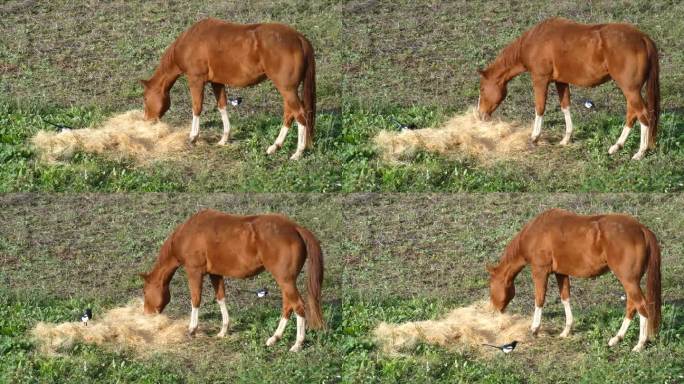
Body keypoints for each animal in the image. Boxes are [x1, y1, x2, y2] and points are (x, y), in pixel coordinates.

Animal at [140, 210, 324, 352]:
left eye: (145, 291)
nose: (147, 313)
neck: (189, 233)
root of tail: (295, 228)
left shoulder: (194, 272)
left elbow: (195, 300)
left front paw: (192, 329)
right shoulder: (215, 274)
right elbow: (221, 298)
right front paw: (223, 330)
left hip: (285, 280)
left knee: (298, 305)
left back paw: (297, 344)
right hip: (286, 282)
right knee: (288, 305)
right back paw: (274, 338)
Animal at [144, 17, 318, 159]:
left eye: (145, 98)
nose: (147, 120)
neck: (190, 42)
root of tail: (299, 38)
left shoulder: (196, 80)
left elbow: (196, 107)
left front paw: (193, 137)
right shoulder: (217, 82)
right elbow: (222, 106)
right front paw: (224, 138)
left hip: (287, 89)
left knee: (300, 114)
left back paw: (298, 152)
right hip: (288, 90)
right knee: (290, 114)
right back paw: (275, 146)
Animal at [478, 17, 660, 159]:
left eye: (481, 89)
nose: (480, 115)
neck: (535, 41)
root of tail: (643, 38)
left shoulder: (540, 79)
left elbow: (539, 107)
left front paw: (535, 137)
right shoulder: (561, 81)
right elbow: (565, 106)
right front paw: (566, 139)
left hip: (630, 90)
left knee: (643, 115)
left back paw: (640, 152)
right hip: (630, 91)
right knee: (632, 114)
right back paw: (617, 146)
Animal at [488, 208, 660, 352]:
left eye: (491, 286)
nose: (495, 310)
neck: (535, 233)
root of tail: (641, 229)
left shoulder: (540, 271)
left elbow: (539, 299)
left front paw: (535, 329)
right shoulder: (561, 273)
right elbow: (565, 298)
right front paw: (566, 331)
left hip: (628, 280)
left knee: (641, 306)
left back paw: (639, 344)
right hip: (631, 281)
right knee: (632, 305)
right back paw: (616, 338)